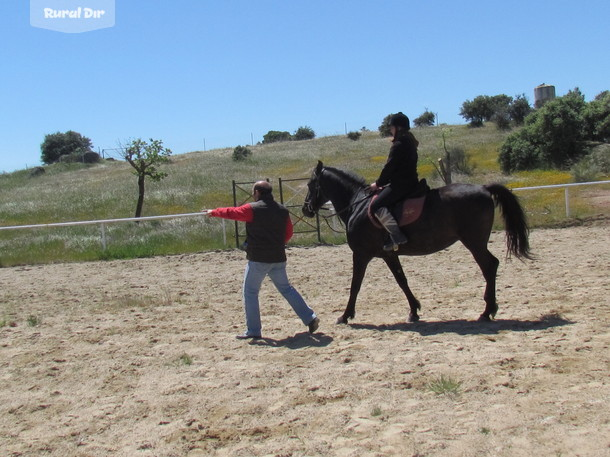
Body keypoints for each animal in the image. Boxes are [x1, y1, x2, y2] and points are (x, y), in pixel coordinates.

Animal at [302, 161, 528, 324]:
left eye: (311, 185)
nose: (306, 209)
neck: (357, 205)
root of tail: (484, 188)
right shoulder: (389, 254)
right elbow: (402, 280)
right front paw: (414, 311)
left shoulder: (361, 254)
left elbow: (355, 285)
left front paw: (345, 315)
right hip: (476, 242)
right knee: (491, 265)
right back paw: (490, 309)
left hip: (474, 242)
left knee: (489, 266)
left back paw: (487, 311)